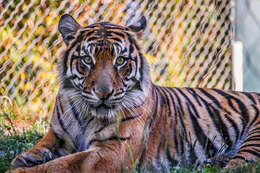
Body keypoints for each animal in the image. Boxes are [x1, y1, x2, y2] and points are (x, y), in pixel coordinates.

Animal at [9, 13, 260, 173]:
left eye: (120, 61)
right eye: (87, 60)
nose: (104, 94)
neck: (85, 115)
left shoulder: (112, 152)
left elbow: (59, 166)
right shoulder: (56, 136)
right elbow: (29, 154)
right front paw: (21, 161)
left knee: (242, 166)